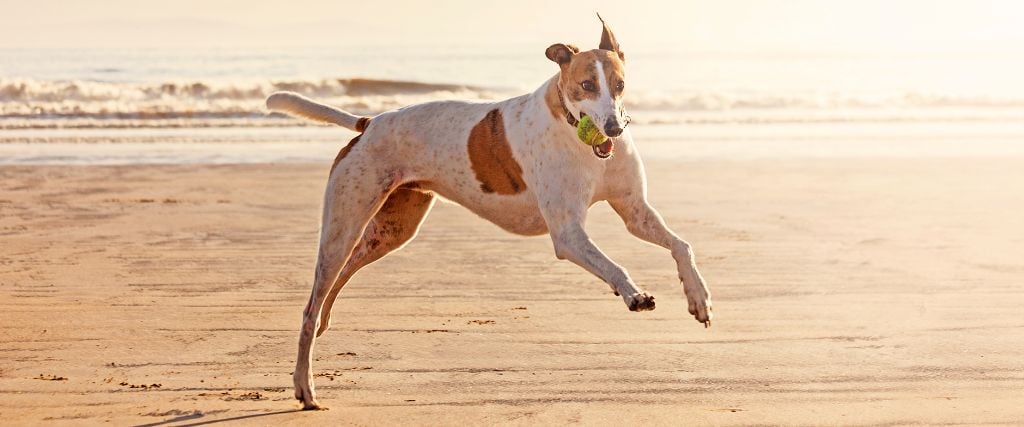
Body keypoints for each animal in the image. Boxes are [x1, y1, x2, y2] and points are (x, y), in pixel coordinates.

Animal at [266, 15, 712, 409]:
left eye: (620, 85)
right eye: (587, 85)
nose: (614, 129)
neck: (576, 134)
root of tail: (369, 122)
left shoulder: (635, 212)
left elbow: (682, 245)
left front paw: (699, 299)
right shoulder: (568, 234)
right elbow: (614, 264)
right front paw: (634, 294)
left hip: (389, 231)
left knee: (339, 279)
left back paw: (325, 325)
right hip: (344, 224)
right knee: (310, 305)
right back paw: (305, 387)